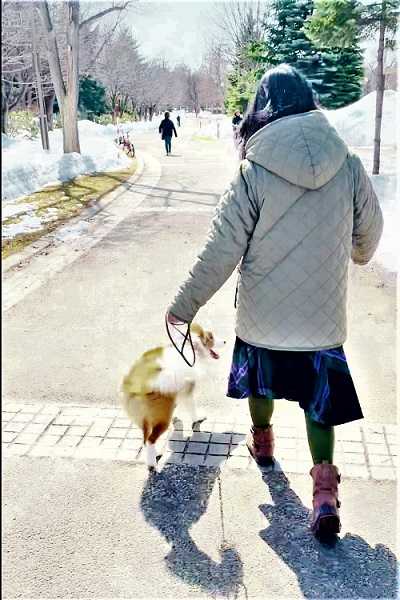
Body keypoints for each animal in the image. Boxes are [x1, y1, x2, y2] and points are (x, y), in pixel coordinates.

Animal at [120, 324, 225, 468]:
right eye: (211, 337)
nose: (225, 341)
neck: (191, 346)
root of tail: (137, 384)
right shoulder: (187, 390)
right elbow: (192, 408)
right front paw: (197, 419)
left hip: (143, 418)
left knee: (146, 439)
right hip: (161, 417)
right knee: (151, 439)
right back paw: (152, 464)